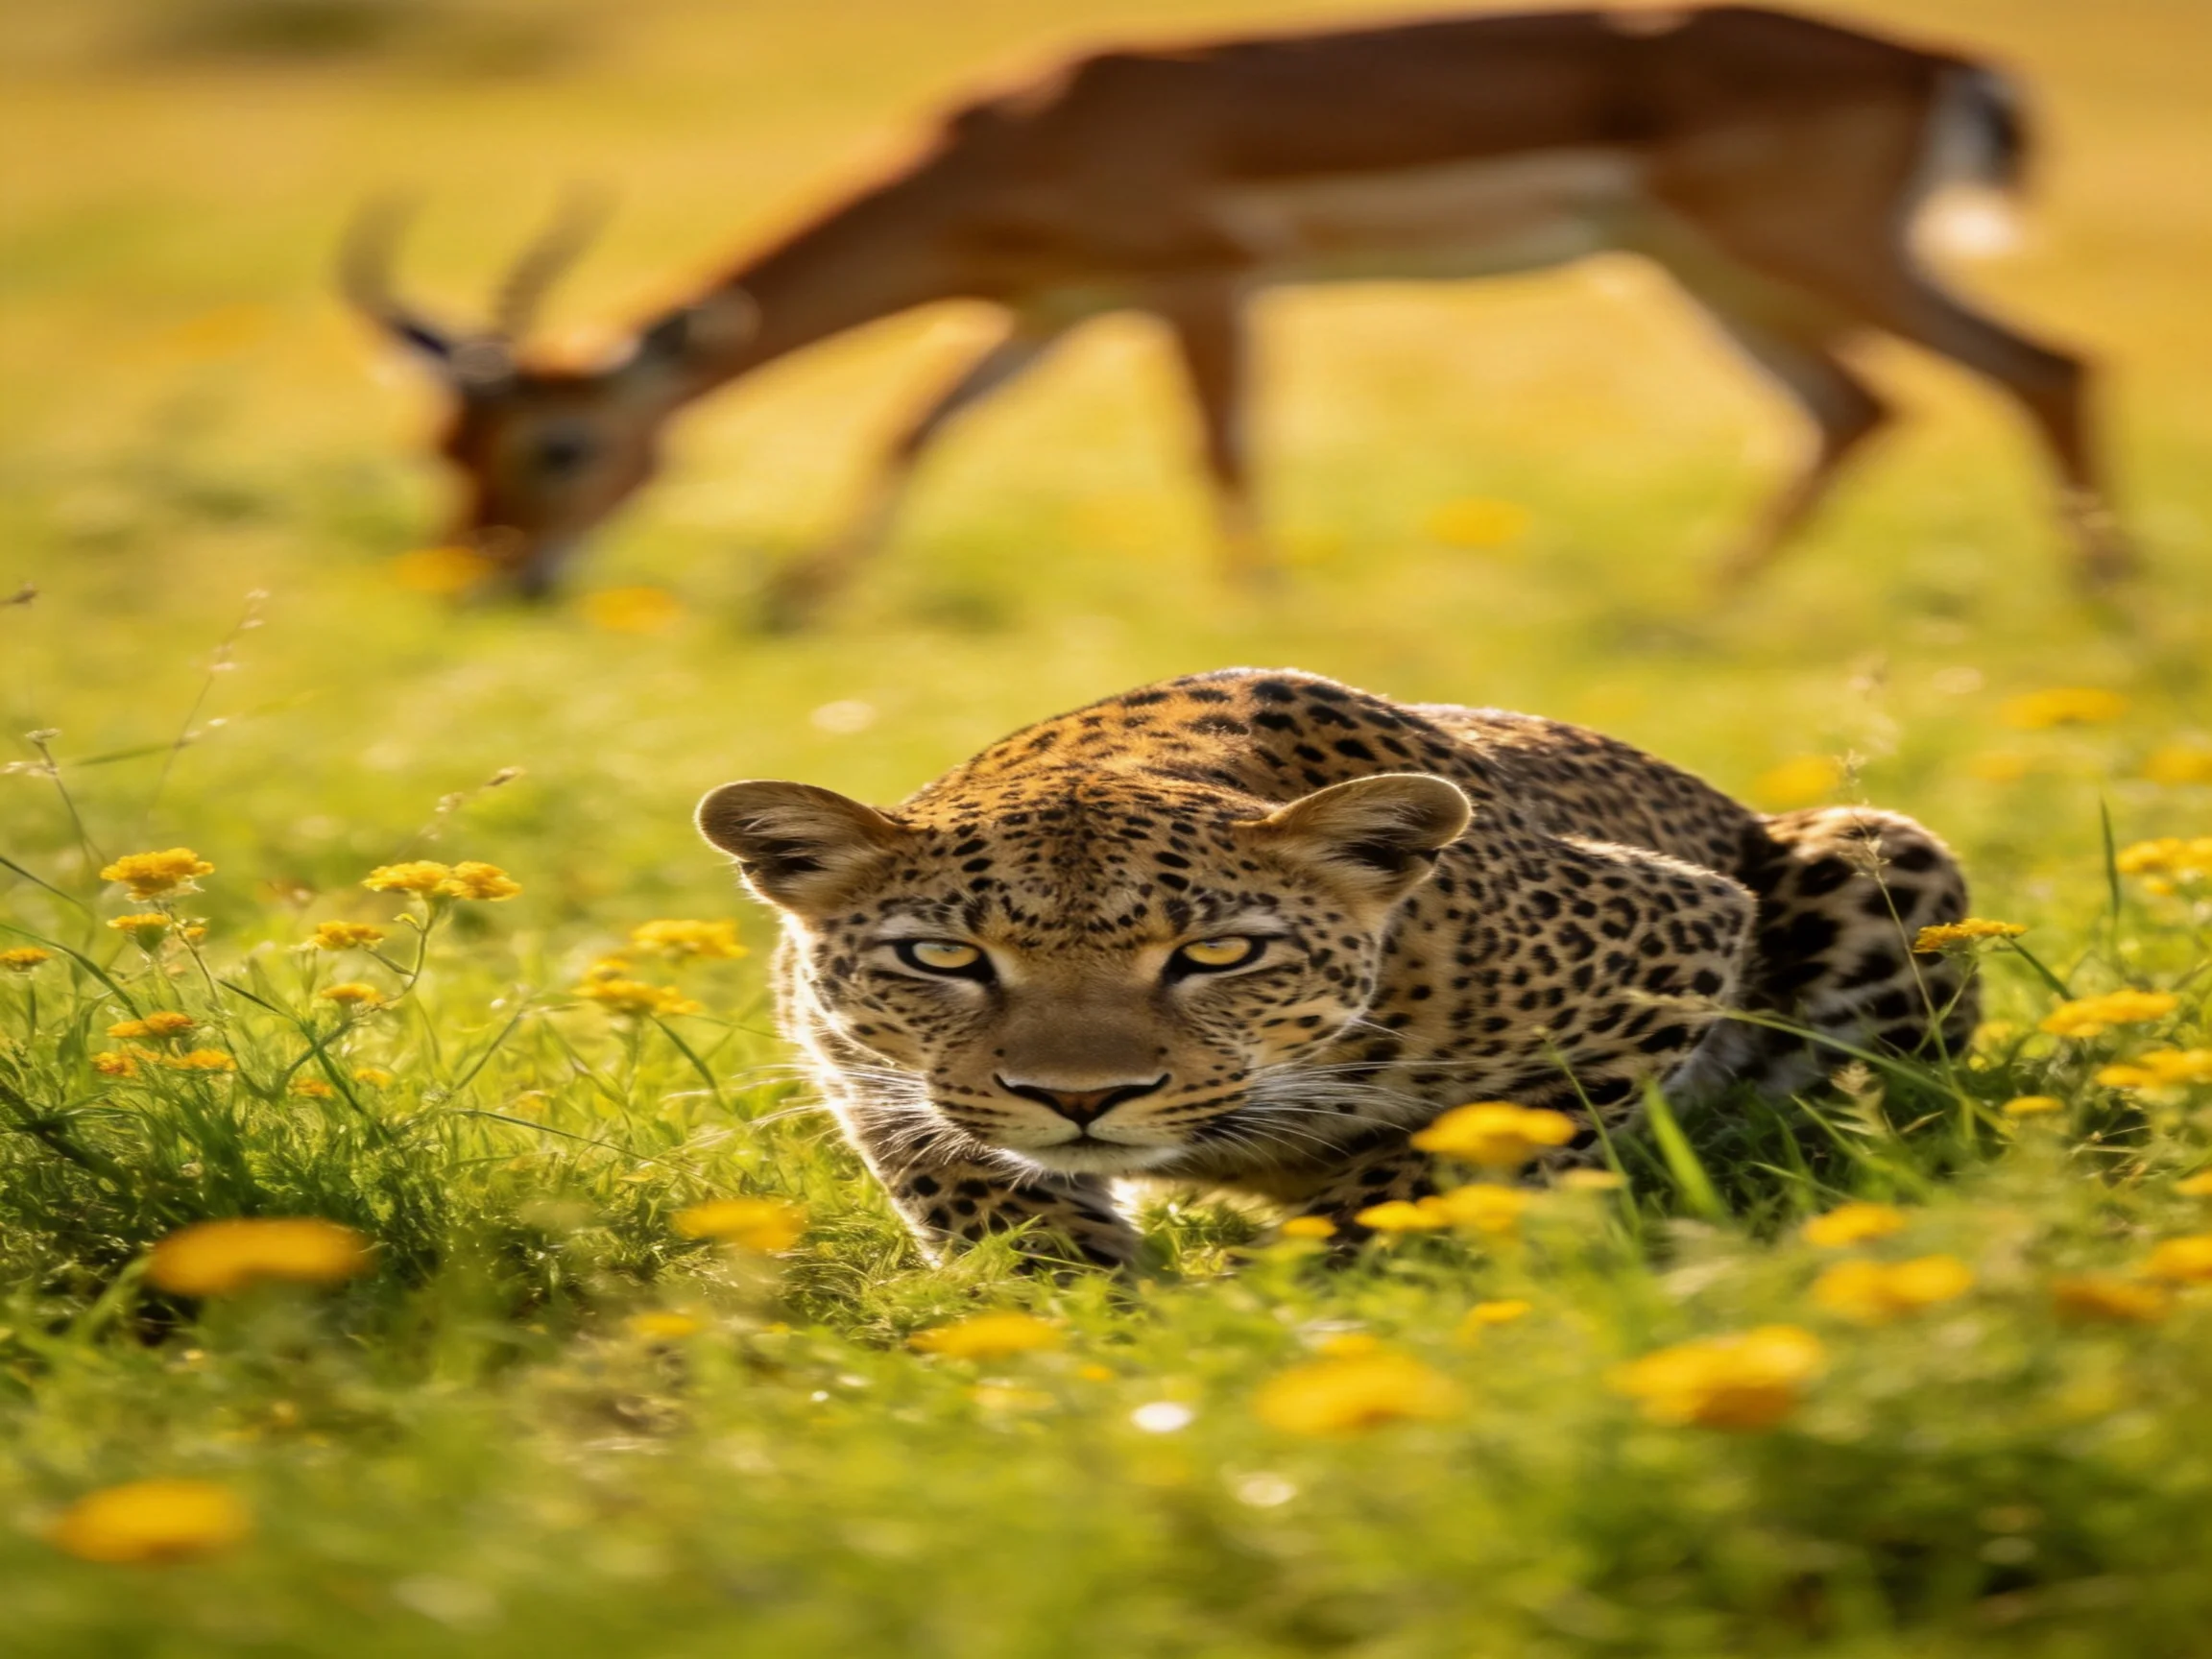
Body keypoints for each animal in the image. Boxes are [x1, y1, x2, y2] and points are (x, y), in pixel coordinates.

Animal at [344, 4, 2131, 618]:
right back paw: (1691, 611)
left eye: (562, 445)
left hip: (1791, 254)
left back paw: (2106, 609)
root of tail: (1933, 60)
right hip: (1699, 270)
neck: (1020, 132)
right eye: (441, 446)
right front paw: (798, 601)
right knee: (1856, 406)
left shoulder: (1200, 285)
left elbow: (1221, 453)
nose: (492, 582)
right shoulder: (1049, 310)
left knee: (2044, 362)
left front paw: (1261, 624)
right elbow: (912, 426)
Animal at [696, 668, 1974, 1268]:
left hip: (1880, 854)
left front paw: (1312, 1293)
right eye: (945, 958)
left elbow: (1431, 1168)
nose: (1080, 1100)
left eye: (1217, 954)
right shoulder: (859, 1064)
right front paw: (1090, 1316)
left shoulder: (1669, 938)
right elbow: (988, 1196)